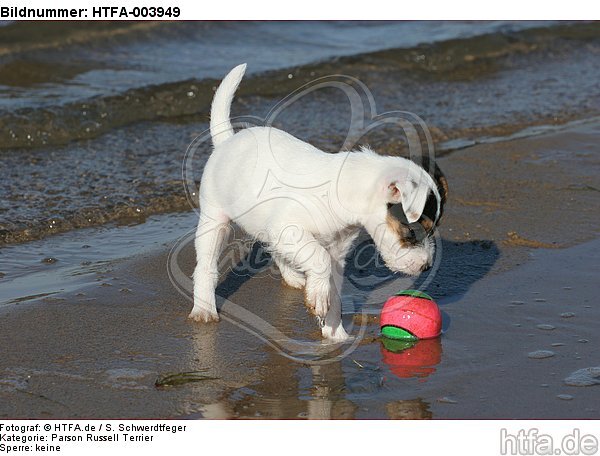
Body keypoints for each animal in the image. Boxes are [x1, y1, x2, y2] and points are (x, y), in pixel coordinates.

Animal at [190, 65, 448, 342]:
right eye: (411, 232)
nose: (426, 266)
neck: (346, 192)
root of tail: (227, 141)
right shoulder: (290, 229)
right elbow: (318, 257)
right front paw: (321, 302)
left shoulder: (333, 252)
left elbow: (332, 290)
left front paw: (335, 333)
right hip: (214, 220)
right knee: (206, 265)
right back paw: (204, 309)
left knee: (276, 249)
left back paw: (293, 277)